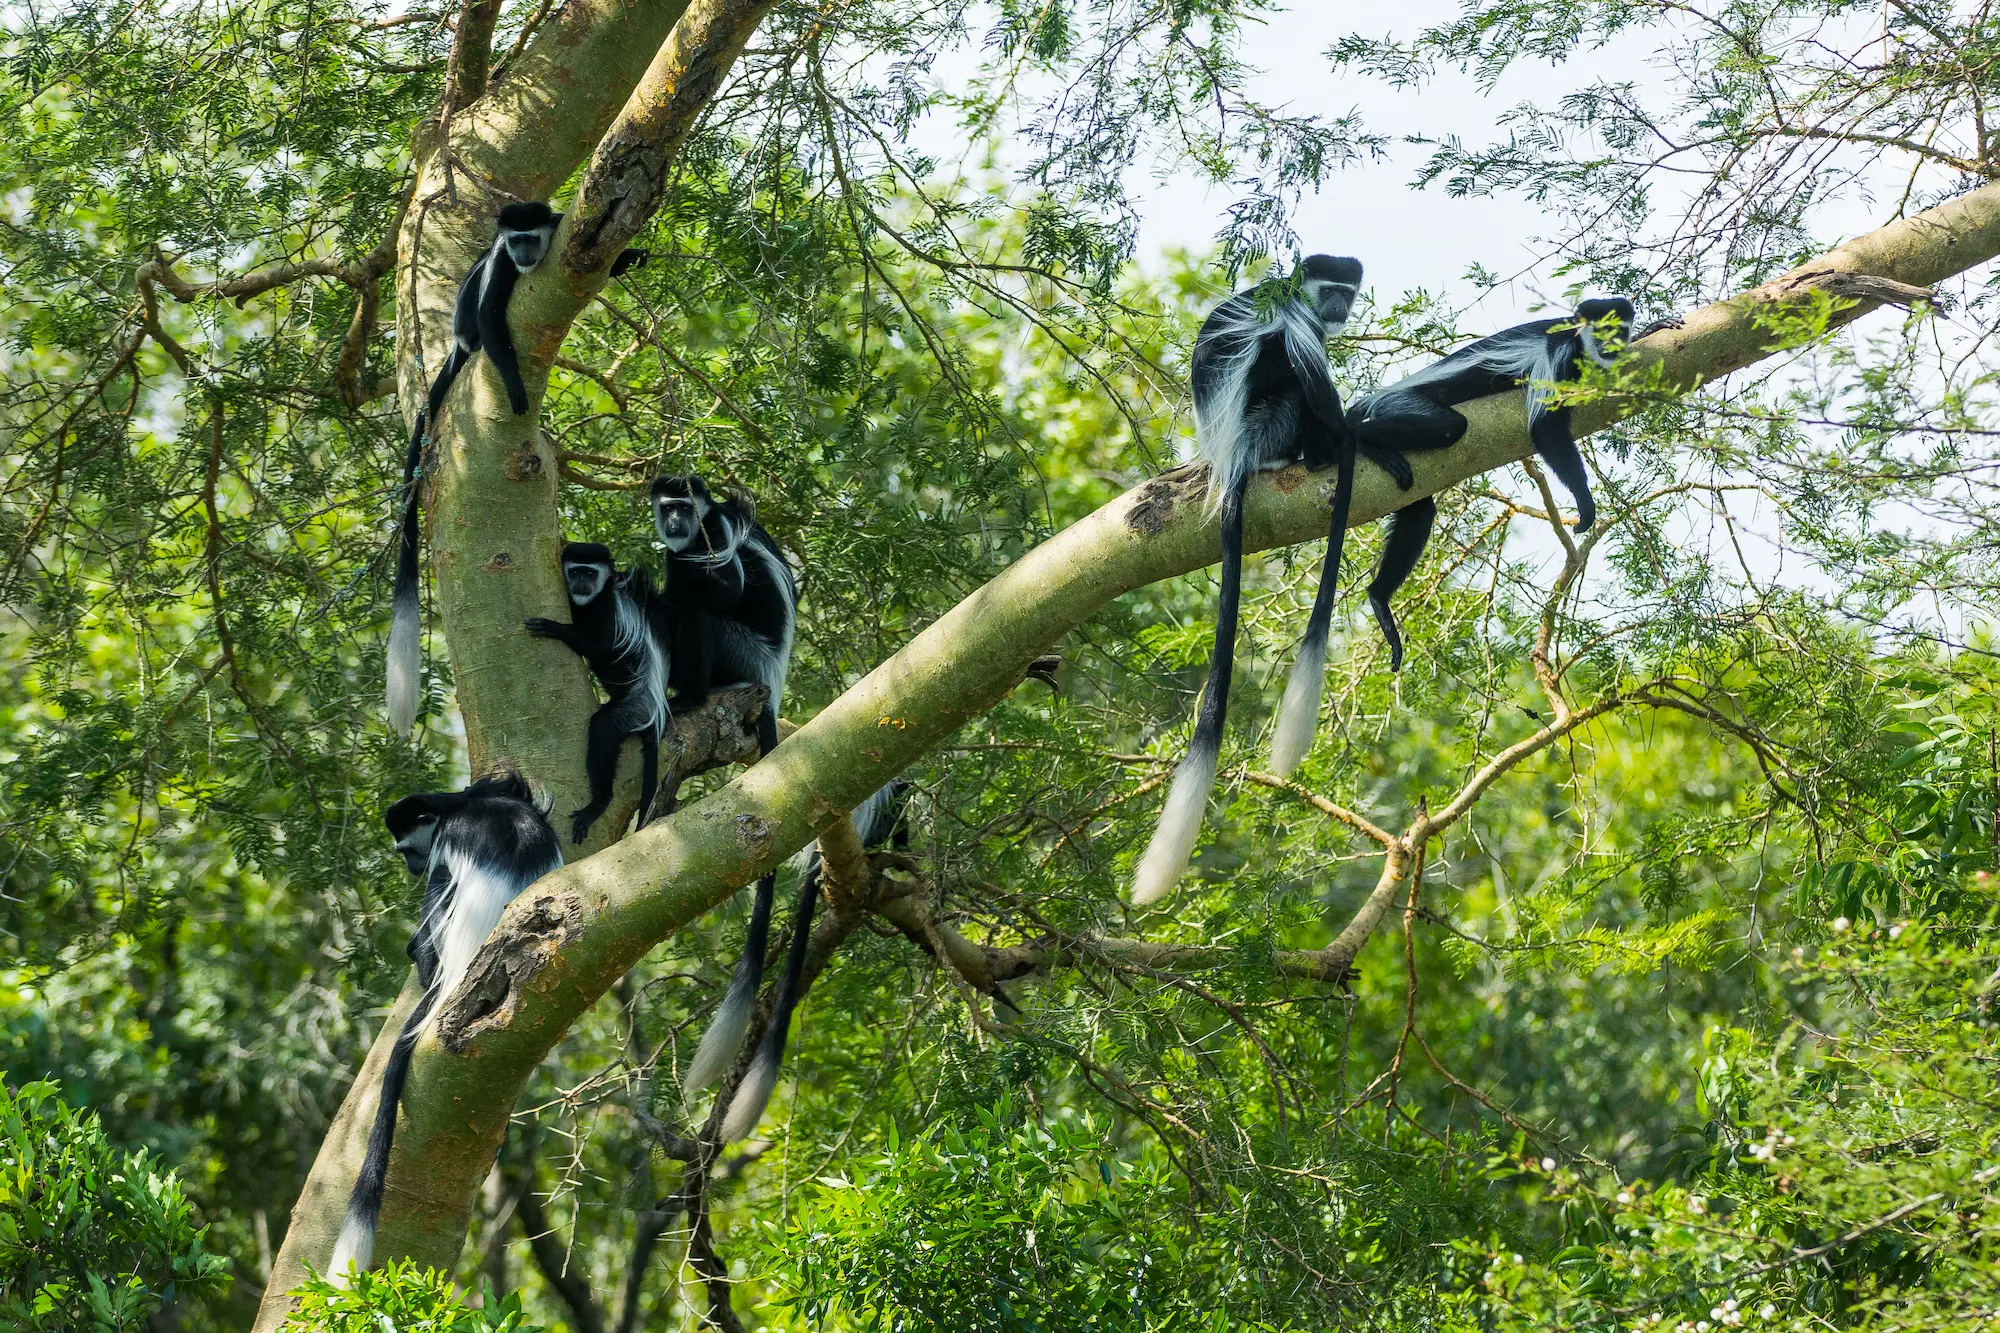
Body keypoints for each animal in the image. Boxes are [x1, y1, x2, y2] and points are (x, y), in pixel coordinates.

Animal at [524, 540, 672, 840]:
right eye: (575, 571)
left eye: (590, 573)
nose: (581, 584)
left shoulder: (608, 608)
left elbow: (605, 644)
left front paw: (558, 629)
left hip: (637, 708)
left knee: (604, 727)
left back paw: (599, 801)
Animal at [652, 472, 808, 1096]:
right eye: (665, 507)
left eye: (682, 506)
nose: (673, 524)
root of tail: (770, 680)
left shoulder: (712, 537)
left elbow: (716, 594)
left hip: (738, 652)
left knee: (699, 615)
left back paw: (687, 695)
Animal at [1136, 254, 1368, 908]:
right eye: (1329, 290)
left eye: (1347, 292)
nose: (1337, 309)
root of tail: (1235, 454)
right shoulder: (1297, 321)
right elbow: (1310, 373)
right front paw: (1347, 430)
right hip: (1270, 420)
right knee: (1286, 373)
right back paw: (1319, 451)